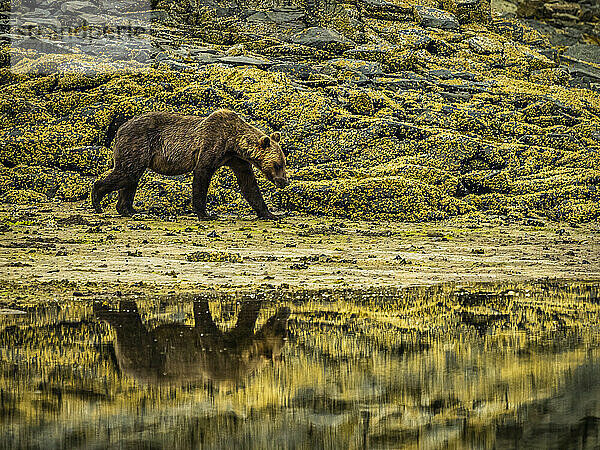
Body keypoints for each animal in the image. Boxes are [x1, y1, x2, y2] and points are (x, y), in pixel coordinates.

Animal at [91, 110, 290, 221]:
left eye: (284, 163)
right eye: (278, 164)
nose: (284, 182)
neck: (233, 142)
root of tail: (119, 129)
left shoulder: (236, 160)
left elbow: (249, 185)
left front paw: (270, 214)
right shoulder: (212, 143)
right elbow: (202, 175)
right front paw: (205, 214)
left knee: (131, 178)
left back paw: (129, 209)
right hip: (138, 143)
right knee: (127, 173)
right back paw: (98, 201)